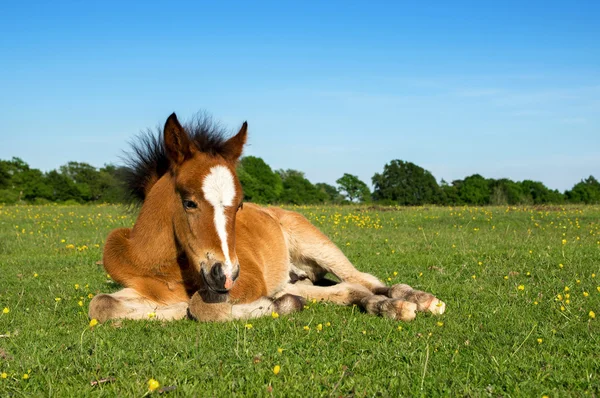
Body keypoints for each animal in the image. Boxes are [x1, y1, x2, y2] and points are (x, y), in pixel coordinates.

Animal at [89, 112, 446, 324]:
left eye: (239, 204)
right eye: (189, 202)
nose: (225, 274)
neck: (163, 268)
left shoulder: (249, 282)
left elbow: (201, 305)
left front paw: (274, 306)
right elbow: (101, 304)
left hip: (317, 245)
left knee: (365, 278)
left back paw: (417, 300)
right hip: (294, 277)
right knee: (348, 289)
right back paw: (385, 306)